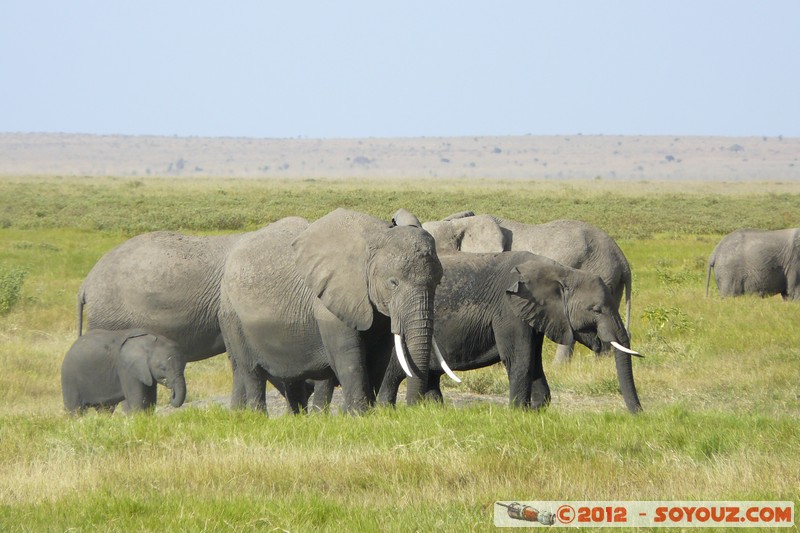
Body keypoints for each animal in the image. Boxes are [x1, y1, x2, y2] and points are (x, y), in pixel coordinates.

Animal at [218, 208, 445, 414]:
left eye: (438, 283)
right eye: (393, 283)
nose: (416, 409)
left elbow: (379, 358)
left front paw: (368, 415)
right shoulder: (330, 303)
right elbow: (349, 358)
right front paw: (359, 416)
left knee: (290, 377)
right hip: (232, 317)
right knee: (251, 371)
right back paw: (258, 416)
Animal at [377, 251, 643, 413]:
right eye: (596, 310)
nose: (638, 415)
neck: (560, 272)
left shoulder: (533, 314)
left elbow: (534, 361)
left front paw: (535, 410)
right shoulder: (509, 310)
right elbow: (519, 359)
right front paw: (517, 412)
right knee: (394, 371)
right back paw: (386, 409)